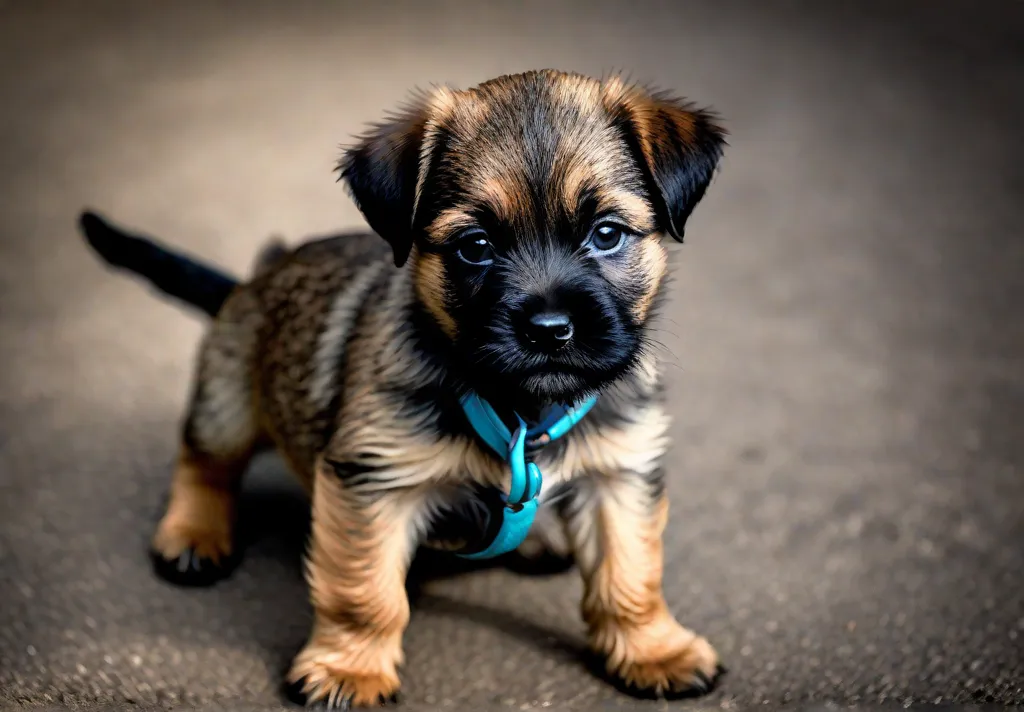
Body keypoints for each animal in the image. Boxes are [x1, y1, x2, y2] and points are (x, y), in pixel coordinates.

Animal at [77, 68, 729, 708]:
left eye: (607, 234)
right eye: (475, 246)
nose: (549, 328)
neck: (520, 410)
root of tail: (254, 278)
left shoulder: (619, 476)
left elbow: (630, 578)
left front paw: (653, 651)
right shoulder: (373, 484)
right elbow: (366, 594)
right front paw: (351, 668)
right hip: (228, 402)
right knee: (204, 462)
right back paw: (194, 533)